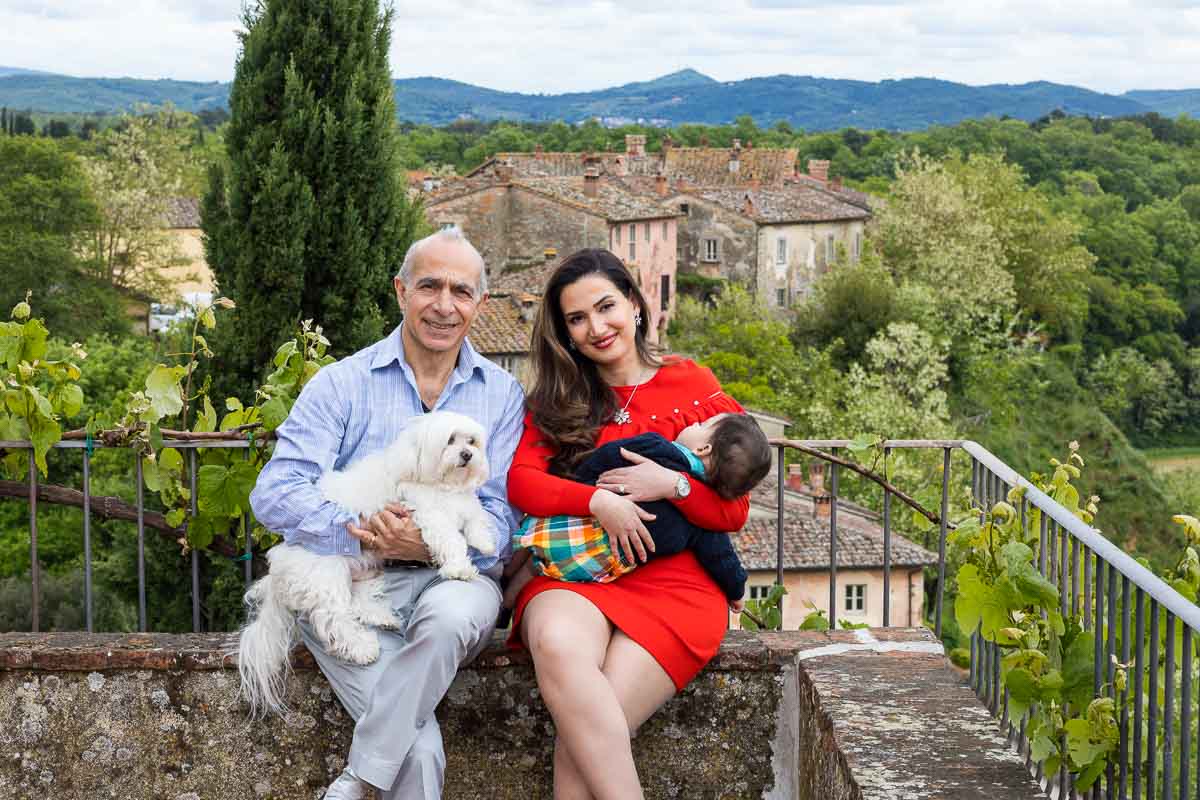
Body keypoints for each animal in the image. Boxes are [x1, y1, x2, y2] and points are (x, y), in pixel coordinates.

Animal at [236, 410, 494, 714]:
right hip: (327, 572)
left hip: (365, 570)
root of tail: (279, 567)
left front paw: (484, 541)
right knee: (334, 617)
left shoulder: (463, 504)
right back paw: (361, 647)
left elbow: (477, 516)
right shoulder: (427, 513)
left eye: (472, 441)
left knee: (357, 601)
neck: (443, 484)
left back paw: (383, 618)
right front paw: (459, 568)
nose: (467, 454)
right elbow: (450, 539)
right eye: (450, 440)